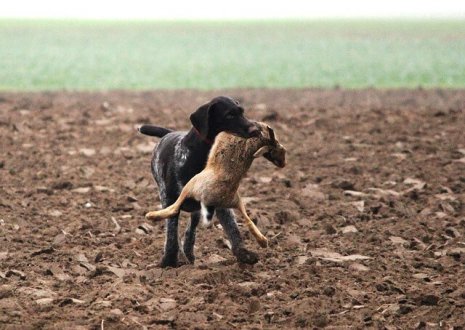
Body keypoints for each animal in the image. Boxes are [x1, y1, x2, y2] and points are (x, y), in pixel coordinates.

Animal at [138, 96, 260, 268]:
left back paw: (188, 253)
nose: (256, 130)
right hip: (165, 196)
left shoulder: (220, 202)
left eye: (242, 112)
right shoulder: (171, 201)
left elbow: (233, 229)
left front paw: (244, 254)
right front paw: (169, 261)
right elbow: (171, 235)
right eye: (229, 115)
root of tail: (169, 133)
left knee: (191, 230)